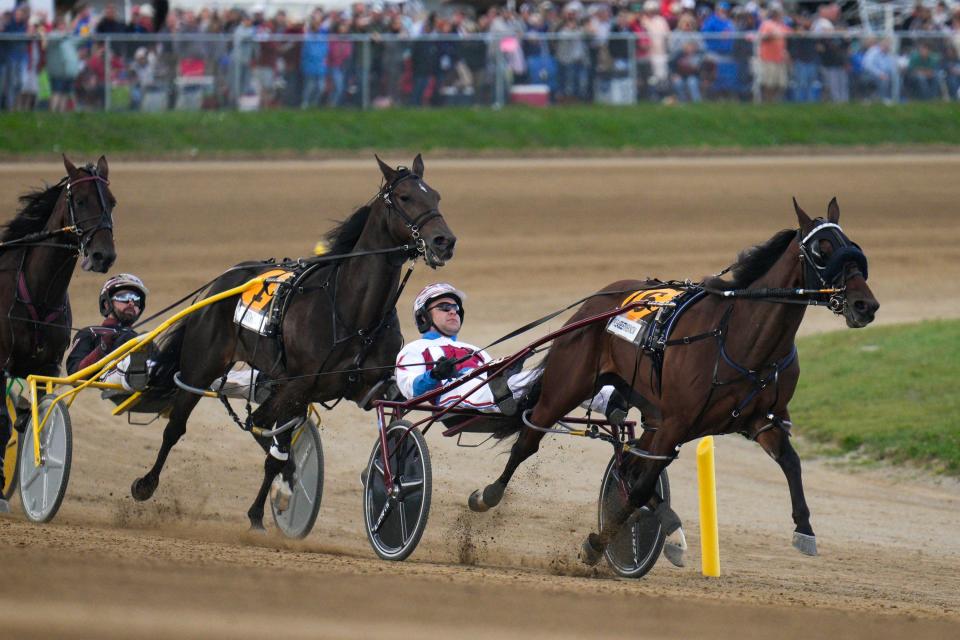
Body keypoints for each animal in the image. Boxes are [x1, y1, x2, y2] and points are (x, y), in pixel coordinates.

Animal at [0, 156, 117, 504]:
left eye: (112, 202)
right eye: (79, 200)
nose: (103, 255)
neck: (39, 295)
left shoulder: (46, 366)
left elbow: (35, 419)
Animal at [132, 155, 458, 528]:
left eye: (436, 196)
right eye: (405, 197)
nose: (444, 241)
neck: (353, 314)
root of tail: (223, 281)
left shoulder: (371, 387)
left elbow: (394, 422)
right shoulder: (299, 385)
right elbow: (271, 442)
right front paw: (276, 496)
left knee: (261, 425)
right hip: (204, 366)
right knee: (179, 427)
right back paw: (146, 483)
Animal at [468, 199, 880, 564]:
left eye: (853, 246)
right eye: (822, 249)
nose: (866, 305)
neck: (737, 337)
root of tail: (596, 301)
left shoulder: (762, 420)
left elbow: (791, 462)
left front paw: (804, 531)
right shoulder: (678, 421)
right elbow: (638, 488)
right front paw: (597, 544)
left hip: (651, 411)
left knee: (630, 462)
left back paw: (671, 530)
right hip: (570, 385)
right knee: (530, 439)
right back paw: (487, 495)